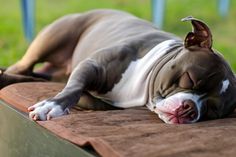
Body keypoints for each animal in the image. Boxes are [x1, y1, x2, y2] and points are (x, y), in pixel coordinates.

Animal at [0, 9, 235, 124]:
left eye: (212, 110)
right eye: (189, 79)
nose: (190, 108)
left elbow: (93, 101)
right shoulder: (91, 66)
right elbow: (74, 89)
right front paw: (52, 106)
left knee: (34, 75)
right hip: (52, 39)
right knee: (22, 68)